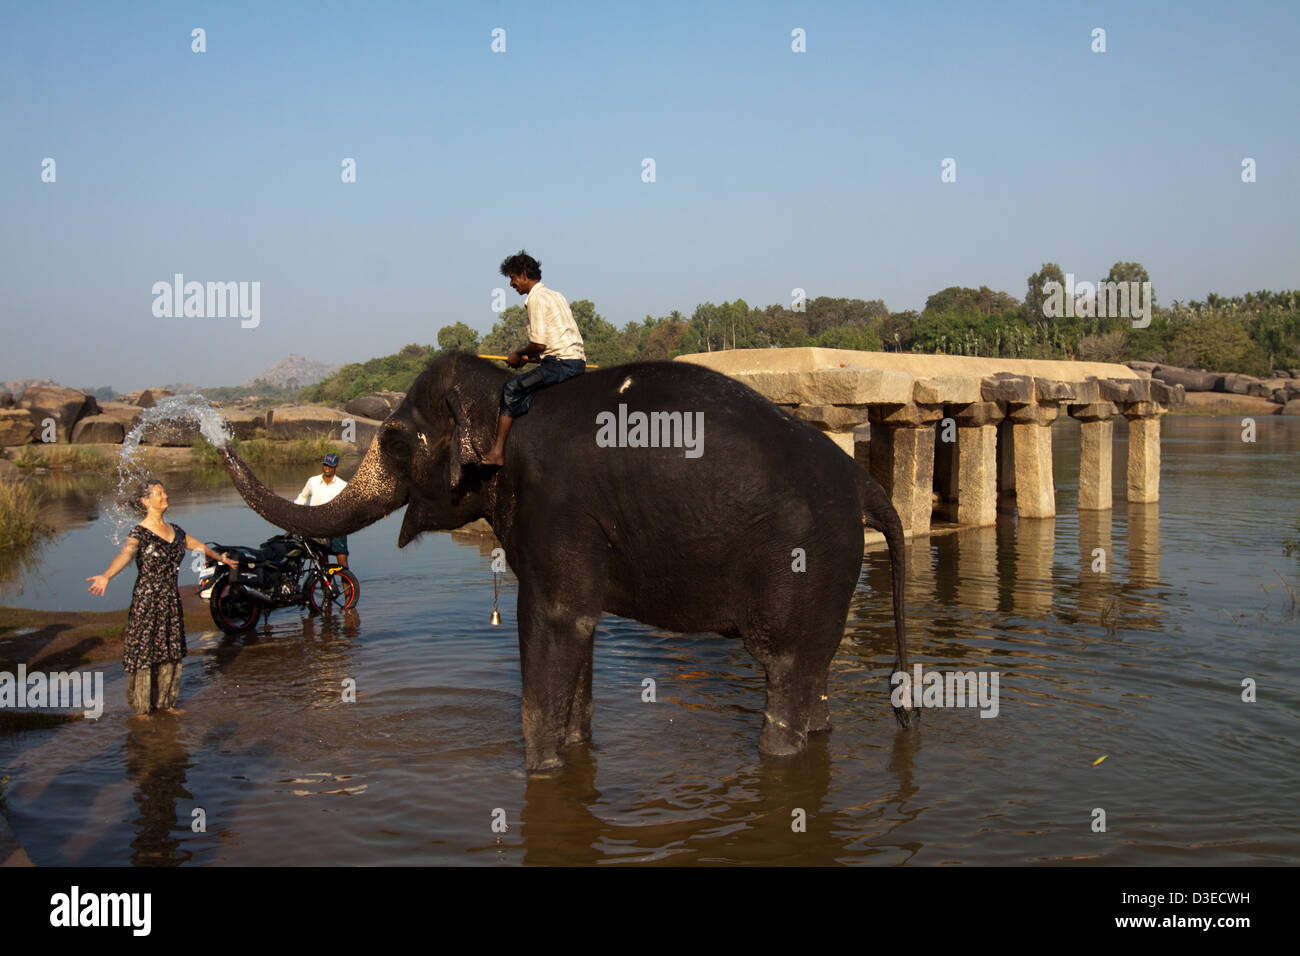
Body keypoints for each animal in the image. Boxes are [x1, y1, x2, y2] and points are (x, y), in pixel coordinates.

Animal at [220, 356, 915, 775]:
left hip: (804, 563)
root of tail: (863, 480)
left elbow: (555, 620)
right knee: (814, 679)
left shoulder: (557, 507)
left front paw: (542, 773)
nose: (216, 431)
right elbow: (581, 628)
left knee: (785, 673)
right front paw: (576, 755)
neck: (502, 399)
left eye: (392, 442)